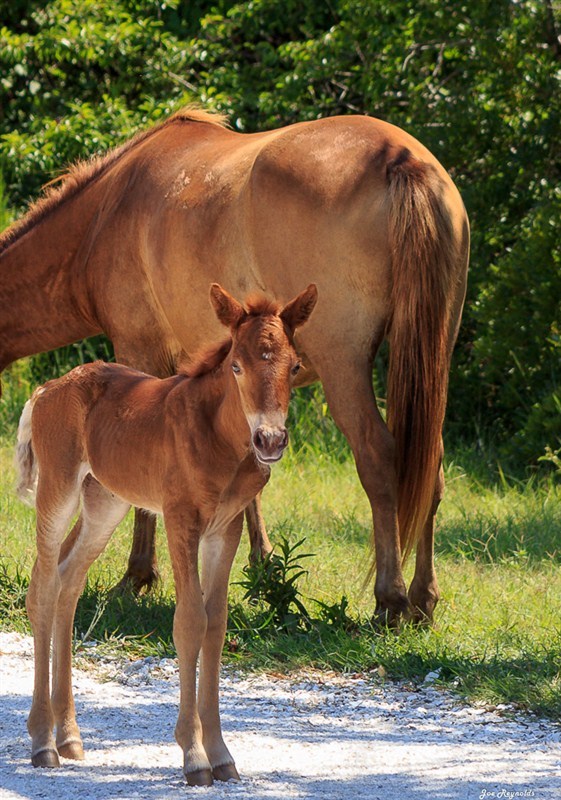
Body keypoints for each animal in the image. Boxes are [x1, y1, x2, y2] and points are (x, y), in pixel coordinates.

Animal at [1, 106, 468, 624]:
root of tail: (400, 158)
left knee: (378, 459)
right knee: (431, 469)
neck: (105, 213)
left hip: (343, 368)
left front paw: (137, 576)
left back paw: (391, 600)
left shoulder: (140, 353)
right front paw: (264, 571)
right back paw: (424, 599)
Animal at [16, 282, 316, 788]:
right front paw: (194, 756)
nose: (270, 441)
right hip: (58, 490)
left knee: (67, 581)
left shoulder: (225, 529)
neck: (218, 437)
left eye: (293, 366)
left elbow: (216, 625)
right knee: (42, 587)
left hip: (105, 502)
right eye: (236, 366)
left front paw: (222, 755)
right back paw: (43, 742)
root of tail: (45, 390)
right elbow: (190, 622)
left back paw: (70, 736)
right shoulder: (181, 521)